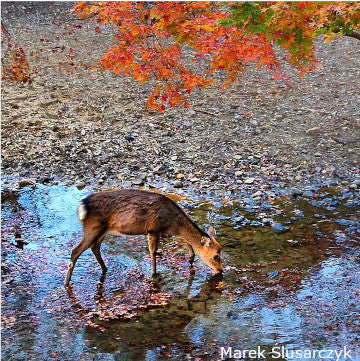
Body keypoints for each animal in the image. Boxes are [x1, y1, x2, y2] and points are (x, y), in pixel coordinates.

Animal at [64, 187, 222, 286]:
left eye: (221, 250)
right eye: (215, 256)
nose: (220, 271)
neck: (172, 224)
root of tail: (82, 206)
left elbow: (186, 242)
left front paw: (190, 258)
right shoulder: (153, 230)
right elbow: (153, 253)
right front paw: (154, 274)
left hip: (103, 231)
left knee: (95, 247)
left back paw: (105, 269)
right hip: (92, 228)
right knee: (75, 251)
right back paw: (66, 283)